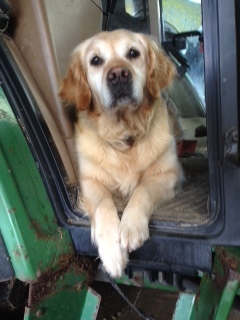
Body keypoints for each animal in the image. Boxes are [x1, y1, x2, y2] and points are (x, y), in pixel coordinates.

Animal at [59, 28, 183, 276]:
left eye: (133, 53)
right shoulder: (89, 181)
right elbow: (103, 203)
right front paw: (111, 249)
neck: (125, 135)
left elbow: (143, 189)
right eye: (95, 60)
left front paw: (131, 225)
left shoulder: (169, 174)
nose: (118, 75)